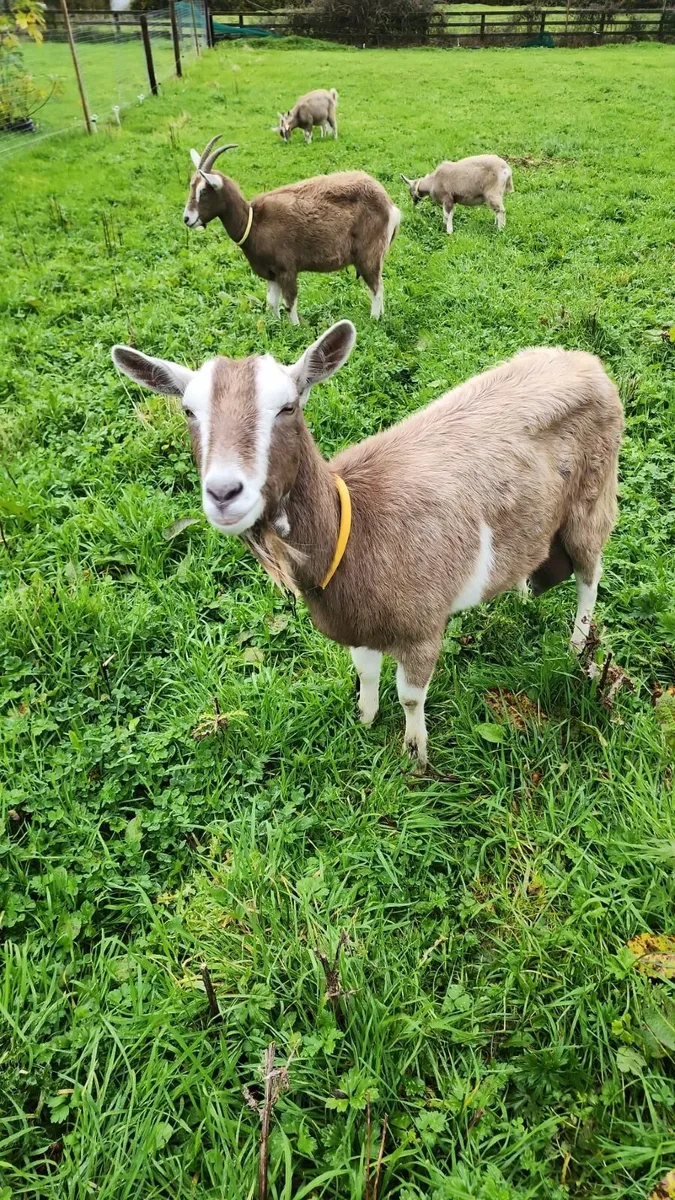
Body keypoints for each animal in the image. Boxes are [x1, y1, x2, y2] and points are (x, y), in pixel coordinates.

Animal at [111, 323, 623, 767]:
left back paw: (579, 644)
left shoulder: (421, 628)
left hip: (593, 500)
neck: (353, 526)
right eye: (188, 411)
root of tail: (587, 363)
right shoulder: (356, 623)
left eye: (288, 407)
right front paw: (365, 720)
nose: (223, 493)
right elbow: (366, 673)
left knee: (589, 573)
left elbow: (411, 696)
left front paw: (415, 754)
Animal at [184, 136, 400, 322]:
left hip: (369, 254)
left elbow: (290, 303)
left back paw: (374, 320)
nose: (187, 219)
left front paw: (295, 329)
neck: (253, 222)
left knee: (376, 288)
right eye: (191, 187)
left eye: (204, 190)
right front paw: (274, 327)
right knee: (379, 285)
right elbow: (272, 303)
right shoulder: (270, 272)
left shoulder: (286, 268)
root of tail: (390, 205)